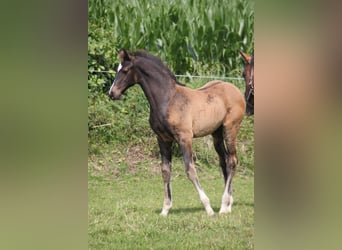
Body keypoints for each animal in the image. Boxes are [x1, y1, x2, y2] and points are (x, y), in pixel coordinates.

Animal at [109, 49, 246, 216]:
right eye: (117, 69)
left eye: (125, 70)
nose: (112, 93)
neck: (168, 99)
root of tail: (235, 89)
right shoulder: (163, 139)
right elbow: (165, 171)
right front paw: (165, 209)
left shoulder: (184, 138)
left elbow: (190, 170)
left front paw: (207, 208)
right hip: (217, 134)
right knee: (224, 161)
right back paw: (227, 206)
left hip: (230, 128)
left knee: (232, 161)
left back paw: (224, 204)